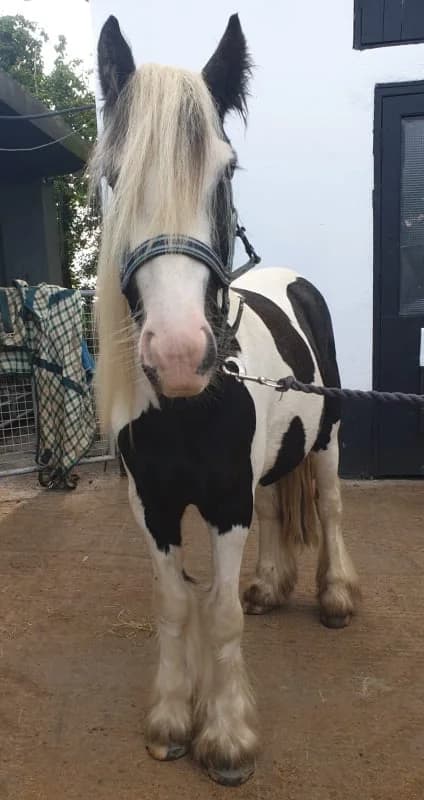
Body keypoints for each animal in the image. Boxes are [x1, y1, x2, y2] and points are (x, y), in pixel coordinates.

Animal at [92, 13, 360, 786]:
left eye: (226, 171)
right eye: (115, 176)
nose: (180, 354)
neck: (187, 409)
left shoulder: (225, 502)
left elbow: (218, 614)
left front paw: (229, 738)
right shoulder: (153, 506)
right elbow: (176, 602)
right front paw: (172, 720)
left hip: (327, 439)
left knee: (330, 508)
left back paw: (335, 597)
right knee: (276, 509)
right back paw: (269, 586)